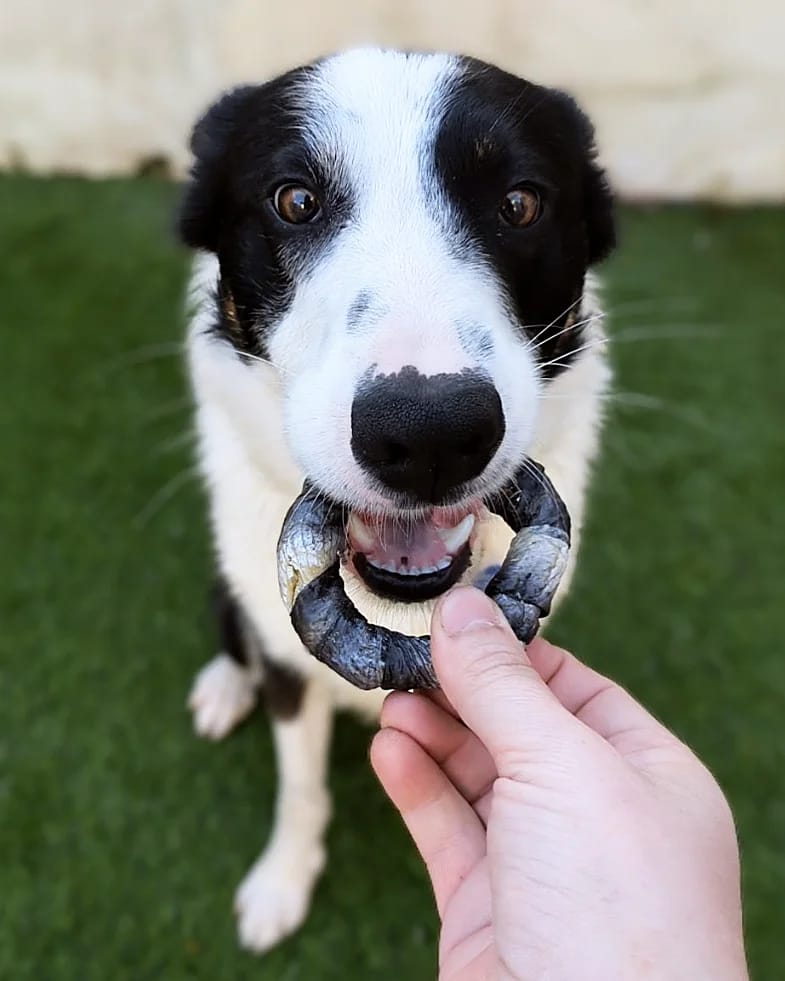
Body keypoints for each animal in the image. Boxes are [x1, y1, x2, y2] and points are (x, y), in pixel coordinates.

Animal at [181, 46, 616, 948]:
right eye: (295, 200)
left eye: (519, 203)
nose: (429, 434)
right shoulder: (287, 663)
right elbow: (298, 781)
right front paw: (282, 880)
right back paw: (225, 685)